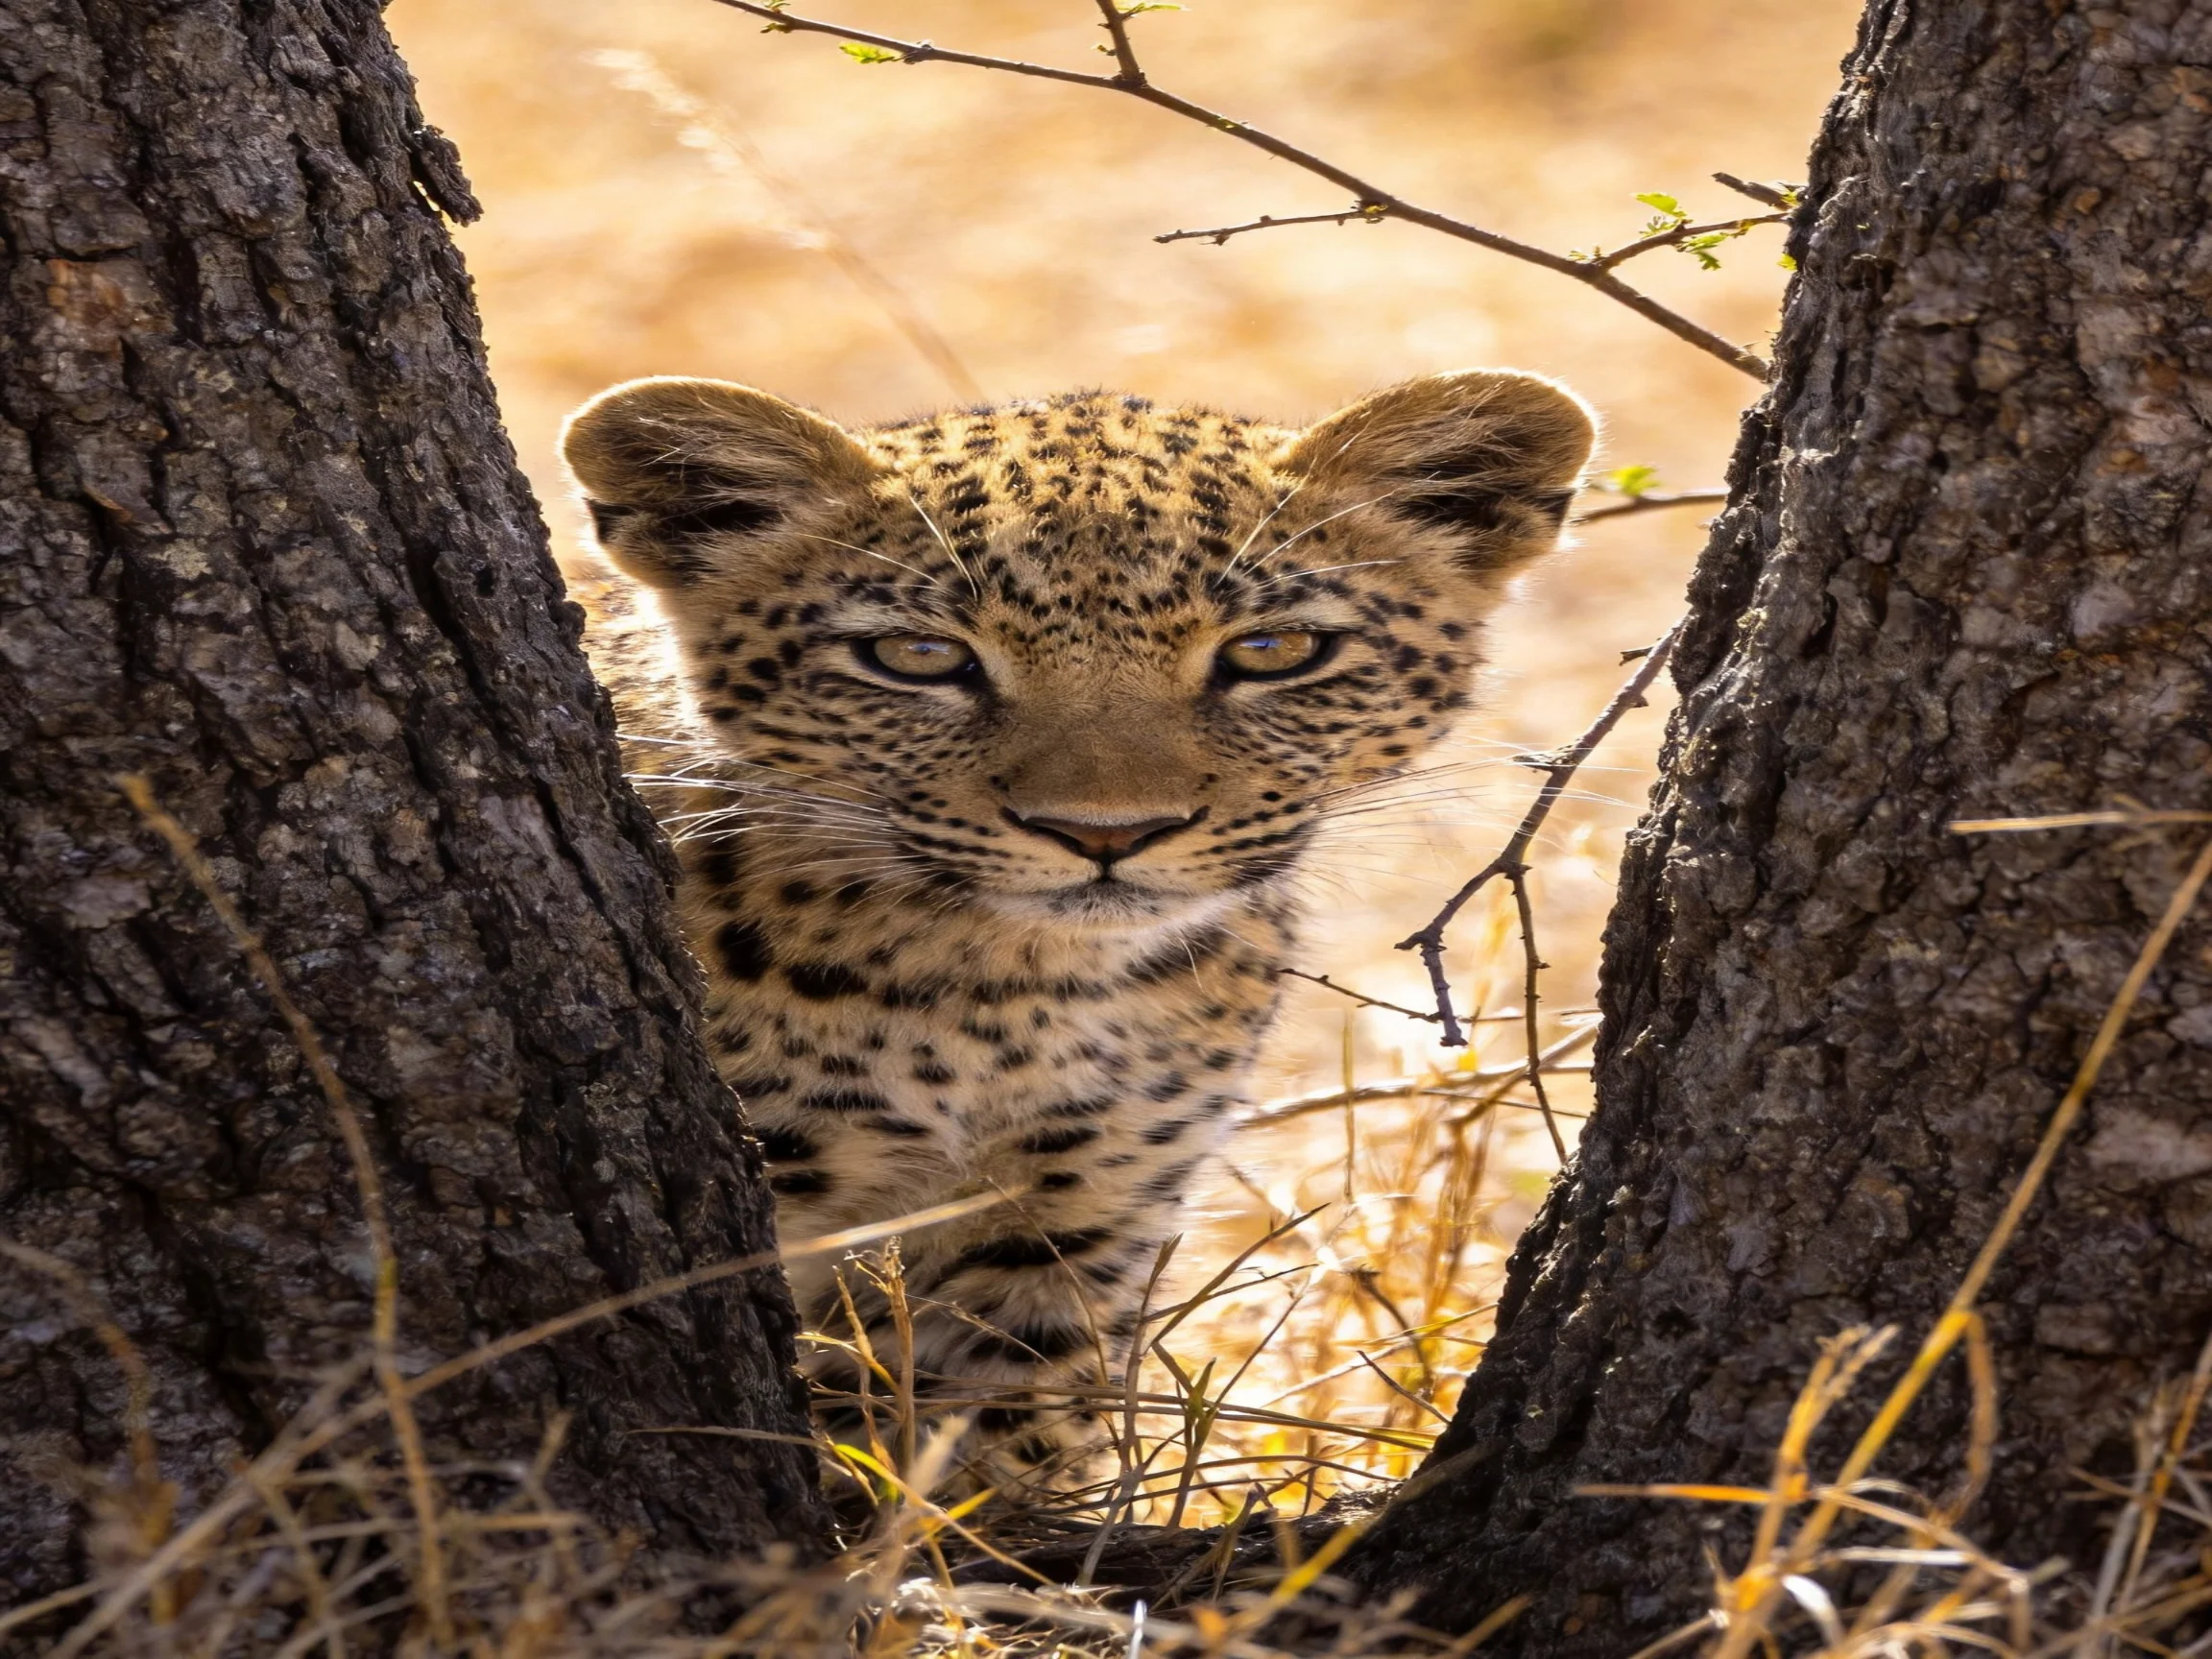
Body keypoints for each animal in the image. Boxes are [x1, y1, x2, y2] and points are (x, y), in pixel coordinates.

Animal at [558, 369, 1596, 1494]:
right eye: (918, 655)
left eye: (1272, 651)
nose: (1108, 833)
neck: (1009, 999)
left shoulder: (1075, 1217)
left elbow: (1002, 1446)